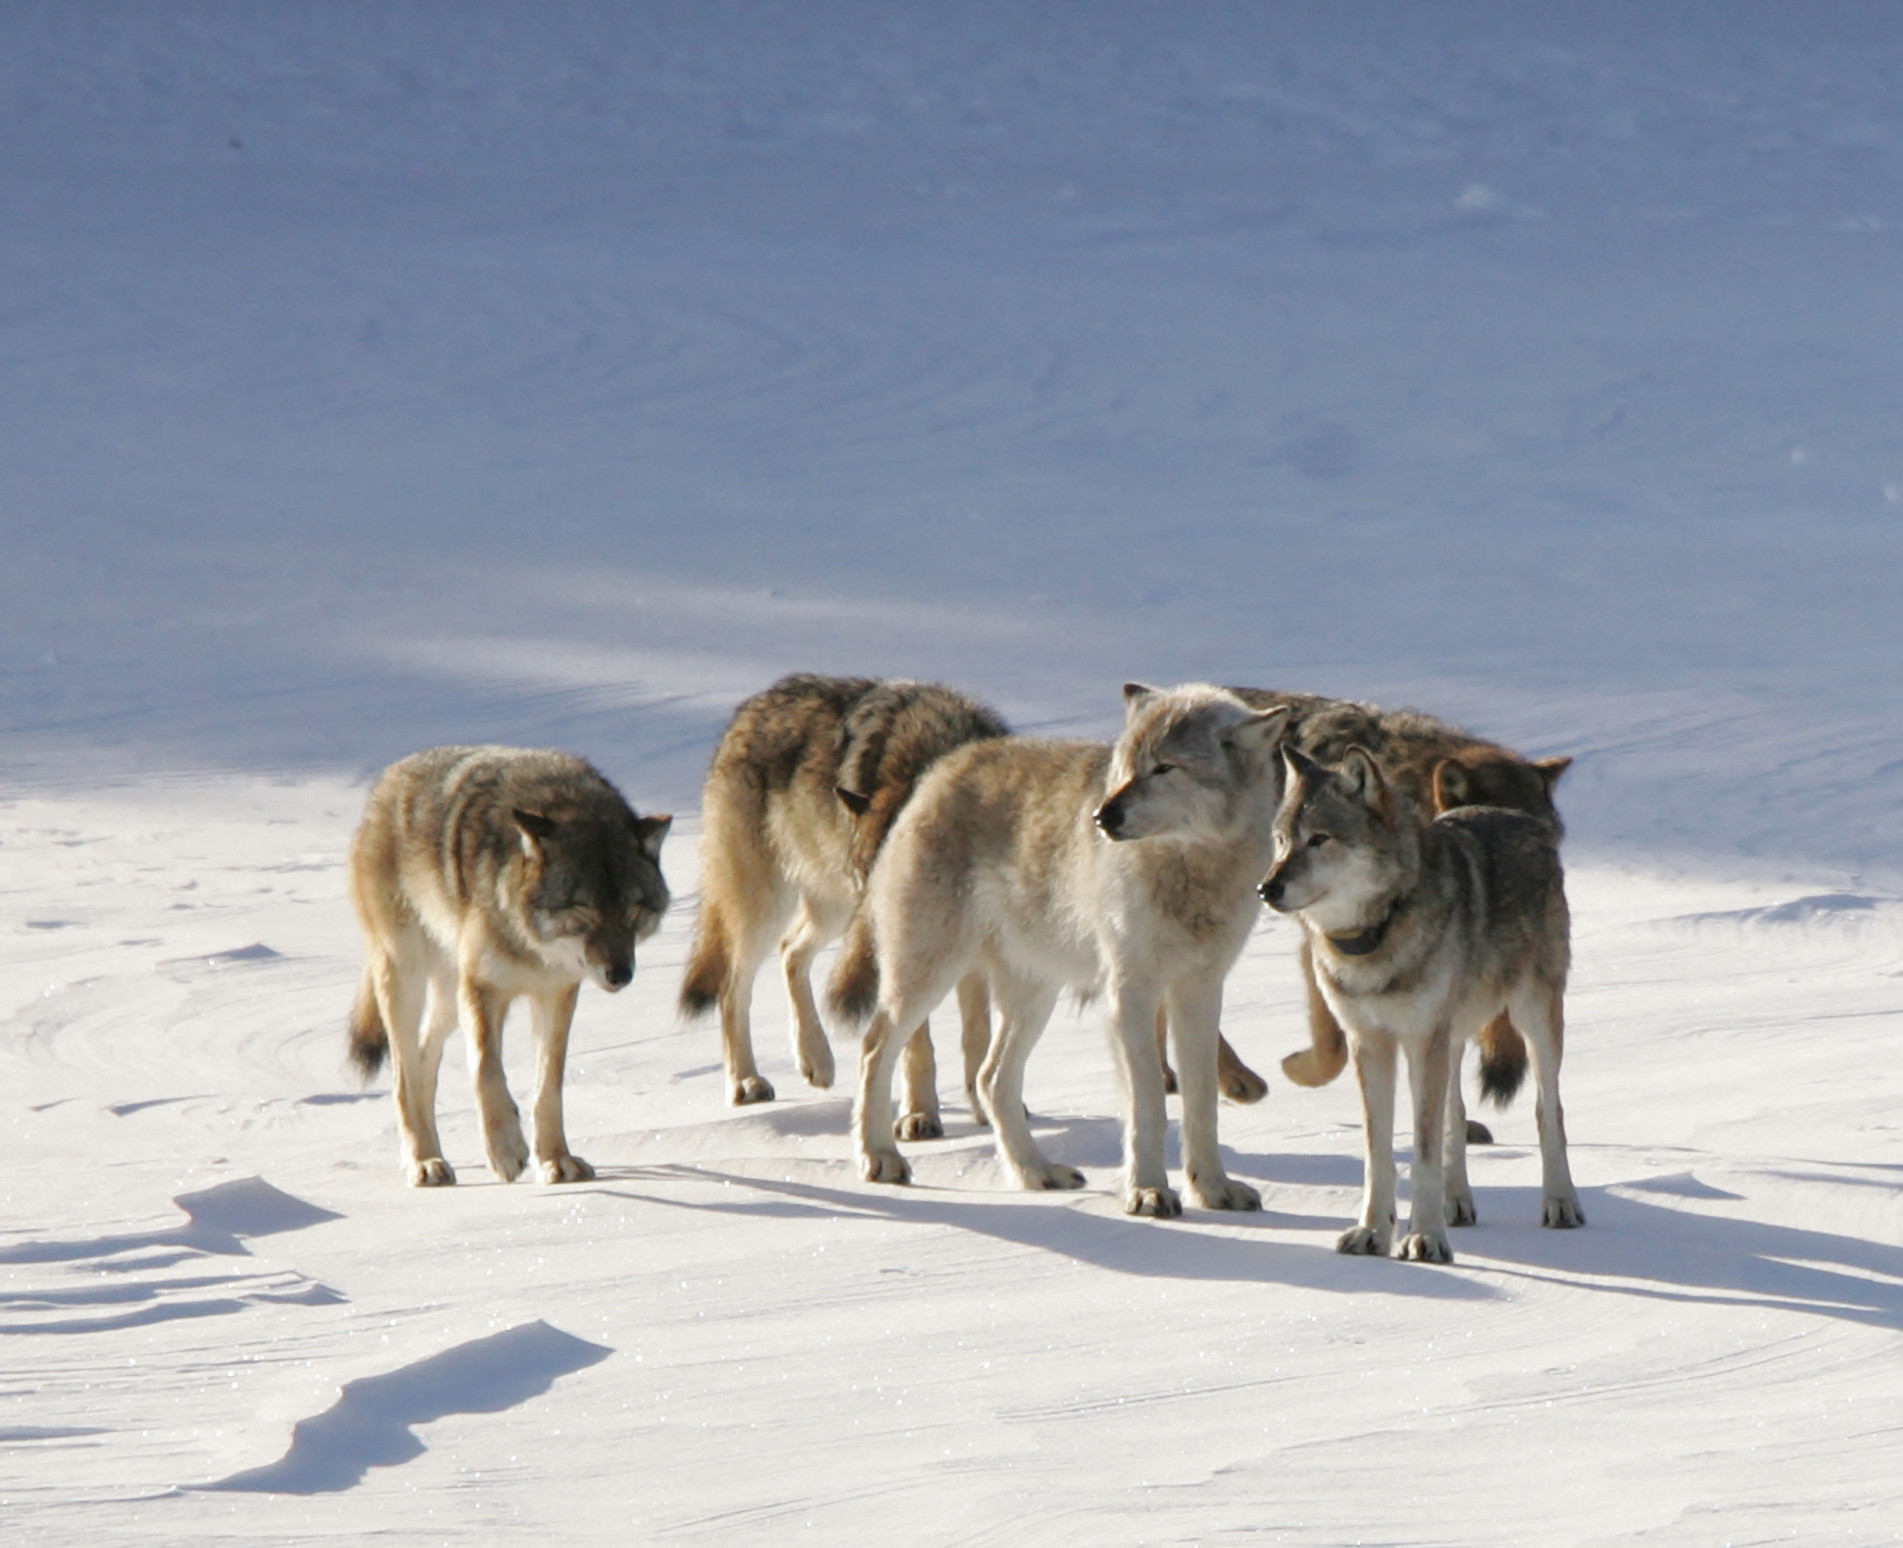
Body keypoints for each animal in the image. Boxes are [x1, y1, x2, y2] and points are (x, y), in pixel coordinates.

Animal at [353, 742, 673, 1188]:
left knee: (423, 1058)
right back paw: (423, 1162)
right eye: (583, 911)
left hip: (448, 997)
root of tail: (391, 777)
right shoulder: (483, 989)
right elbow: (486, 1070)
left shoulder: (556, 993)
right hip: (407, 978)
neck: (533, 945)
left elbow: (548, 1085)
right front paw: (506, 1151)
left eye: (632, 912)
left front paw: (555, 1160)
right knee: (403, 1076)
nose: (620, 974)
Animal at [825, 681, 1286, 1210]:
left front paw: (1212, 1189)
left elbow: (1202, 1103)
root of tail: (939, 770)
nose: (1103, 816)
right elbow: (1149, 1103)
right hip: (929, 977)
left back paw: (1035, 1172)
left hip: (1034, 995)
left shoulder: (1201, 991)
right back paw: (880, 1157)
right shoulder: (1131, 993)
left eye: (1164, 767)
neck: (1191, 869)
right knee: (874, 1049)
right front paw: (1148, 1191)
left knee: (990, 1079)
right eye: (1125, 767)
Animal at [1255, 742, 1583, 1264]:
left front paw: (1425, 1238)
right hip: (1450, 1040)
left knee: (1547, 1110)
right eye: (1282, 840)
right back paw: (1457, 1203)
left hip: (1533, 1019)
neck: (1376, 933)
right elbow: (1380, 1152)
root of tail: (1516, 814)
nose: (1267, 888)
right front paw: (1373, 1232)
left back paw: (1560, 1203)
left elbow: (1423, 1151)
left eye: (1320, 839)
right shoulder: (1370, 1043)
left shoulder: (1421, 1040)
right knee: (1456, 1113)